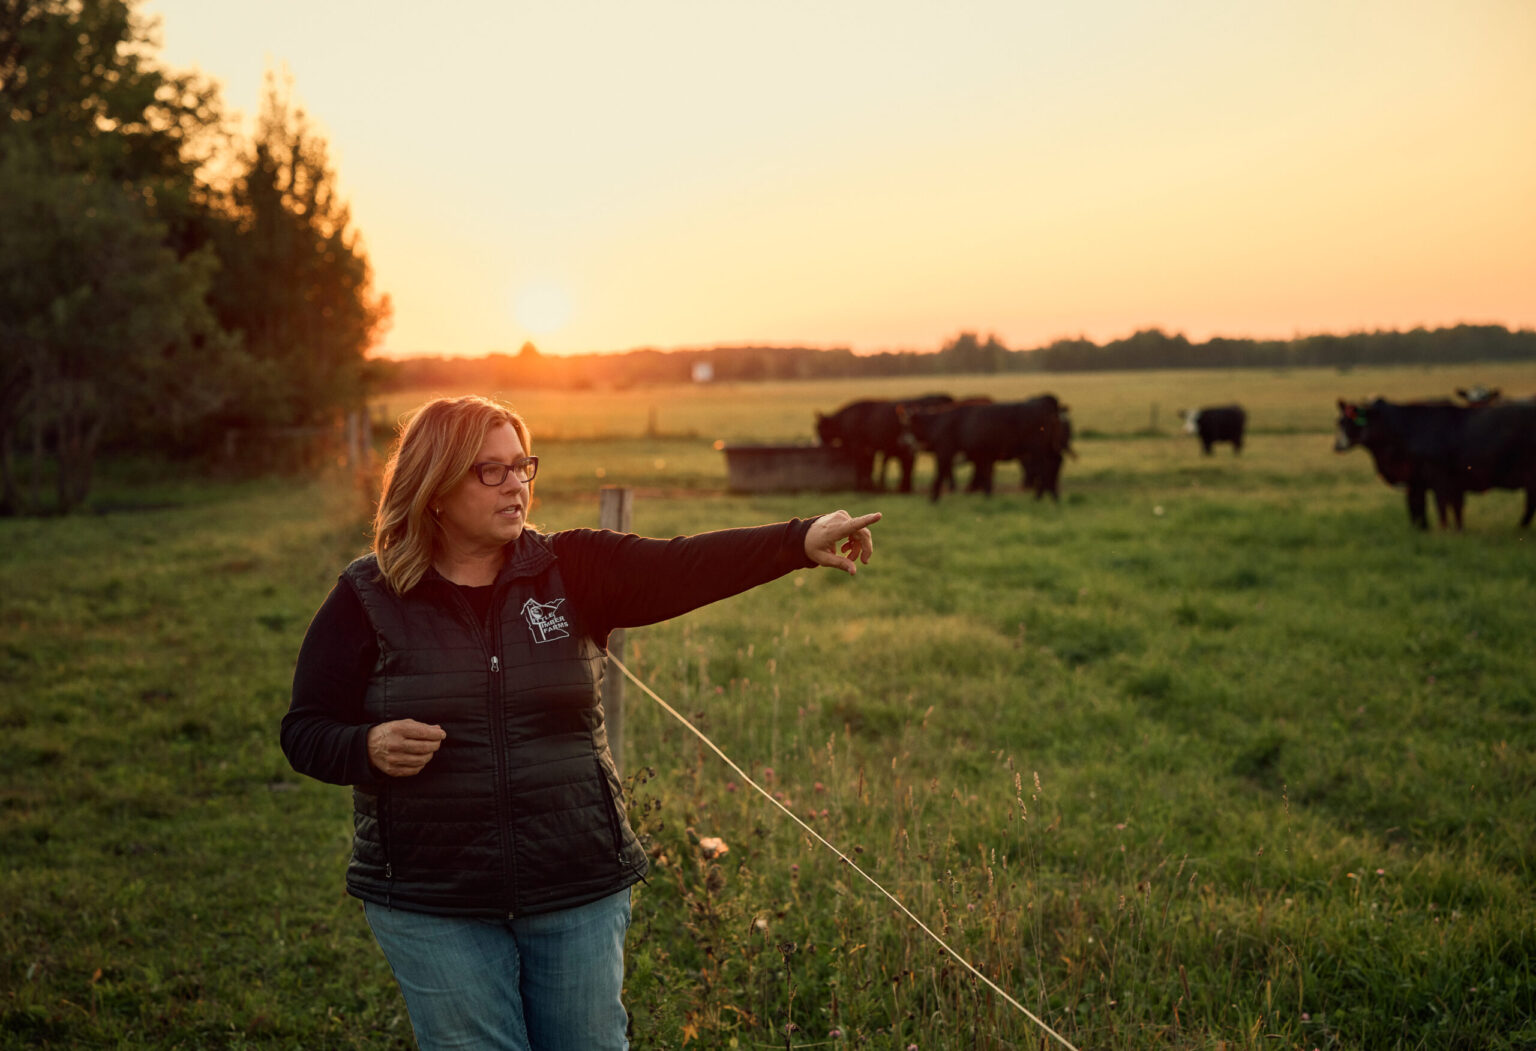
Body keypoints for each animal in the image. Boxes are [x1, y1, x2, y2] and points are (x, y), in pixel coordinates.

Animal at [815, 395, 953, 492]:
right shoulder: (871, 448)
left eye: (819, 428)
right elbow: (869, 466)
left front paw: (861, 487)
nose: (818, 444)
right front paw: (871, 486)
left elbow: (861, 465)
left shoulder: (858, 445)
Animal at [910, 395, 1070, 503]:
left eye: (907, 425)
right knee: (1055, 462)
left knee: (1044, 468)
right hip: (1048, 447)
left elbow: (941, 472)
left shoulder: (946, 450)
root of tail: (1046, 402)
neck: (938, 422)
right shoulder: (982, 454)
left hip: (1037, 448)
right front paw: (986, 495)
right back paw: (1053, 495)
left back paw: (1041, 496)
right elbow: (985, 473)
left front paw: (934, 497)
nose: (907, 442)